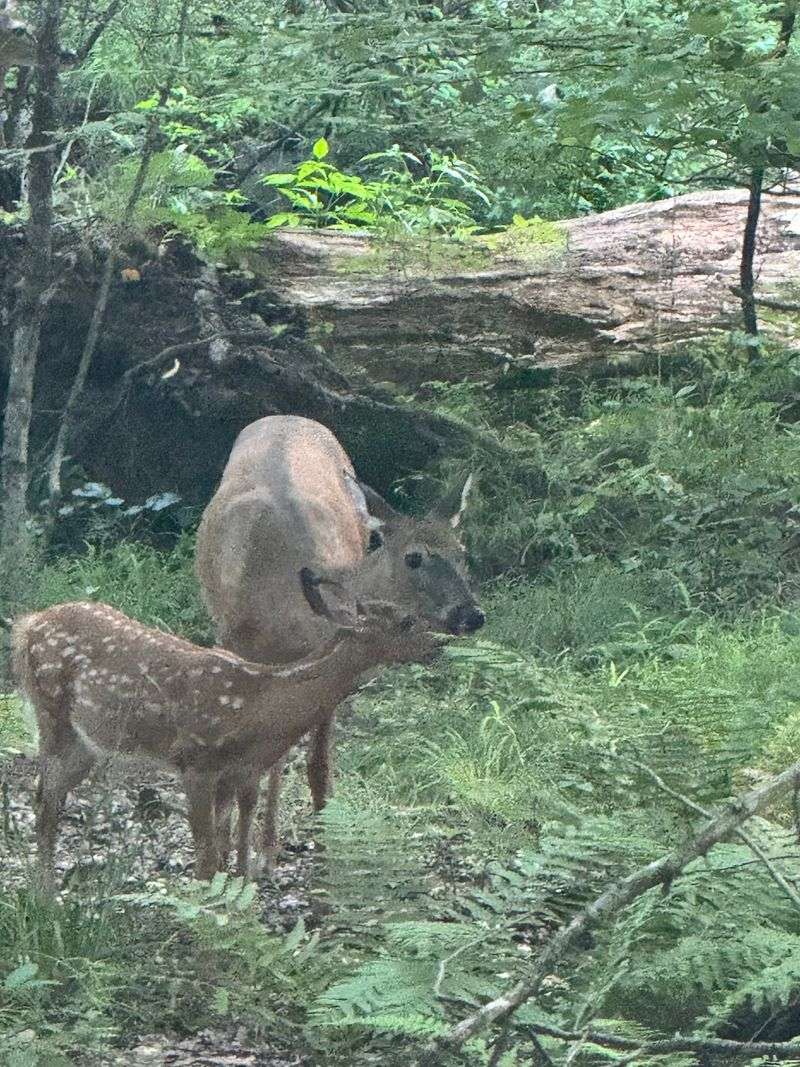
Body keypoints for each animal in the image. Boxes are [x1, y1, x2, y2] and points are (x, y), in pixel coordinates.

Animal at [12, 572, 440, 892]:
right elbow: (205, 859)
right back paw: (45, 899)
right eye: (406, 621)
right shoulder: (196, 762)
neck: (258, 706)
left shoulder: (239, 773)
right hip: (50, 711)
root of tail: (28, 625)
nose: (439, 645)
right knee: (44, 800)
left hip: (88, 741)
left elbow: (223, 848)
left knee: (47, 794)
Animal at [195, 415, 485, 872]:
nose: (471, 614)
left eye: (463, 553)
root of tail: (286, 417)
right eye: (414, 557)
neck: (287, 613)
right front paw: (231, 856)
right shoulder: (235, 646)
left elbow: (316, 765)